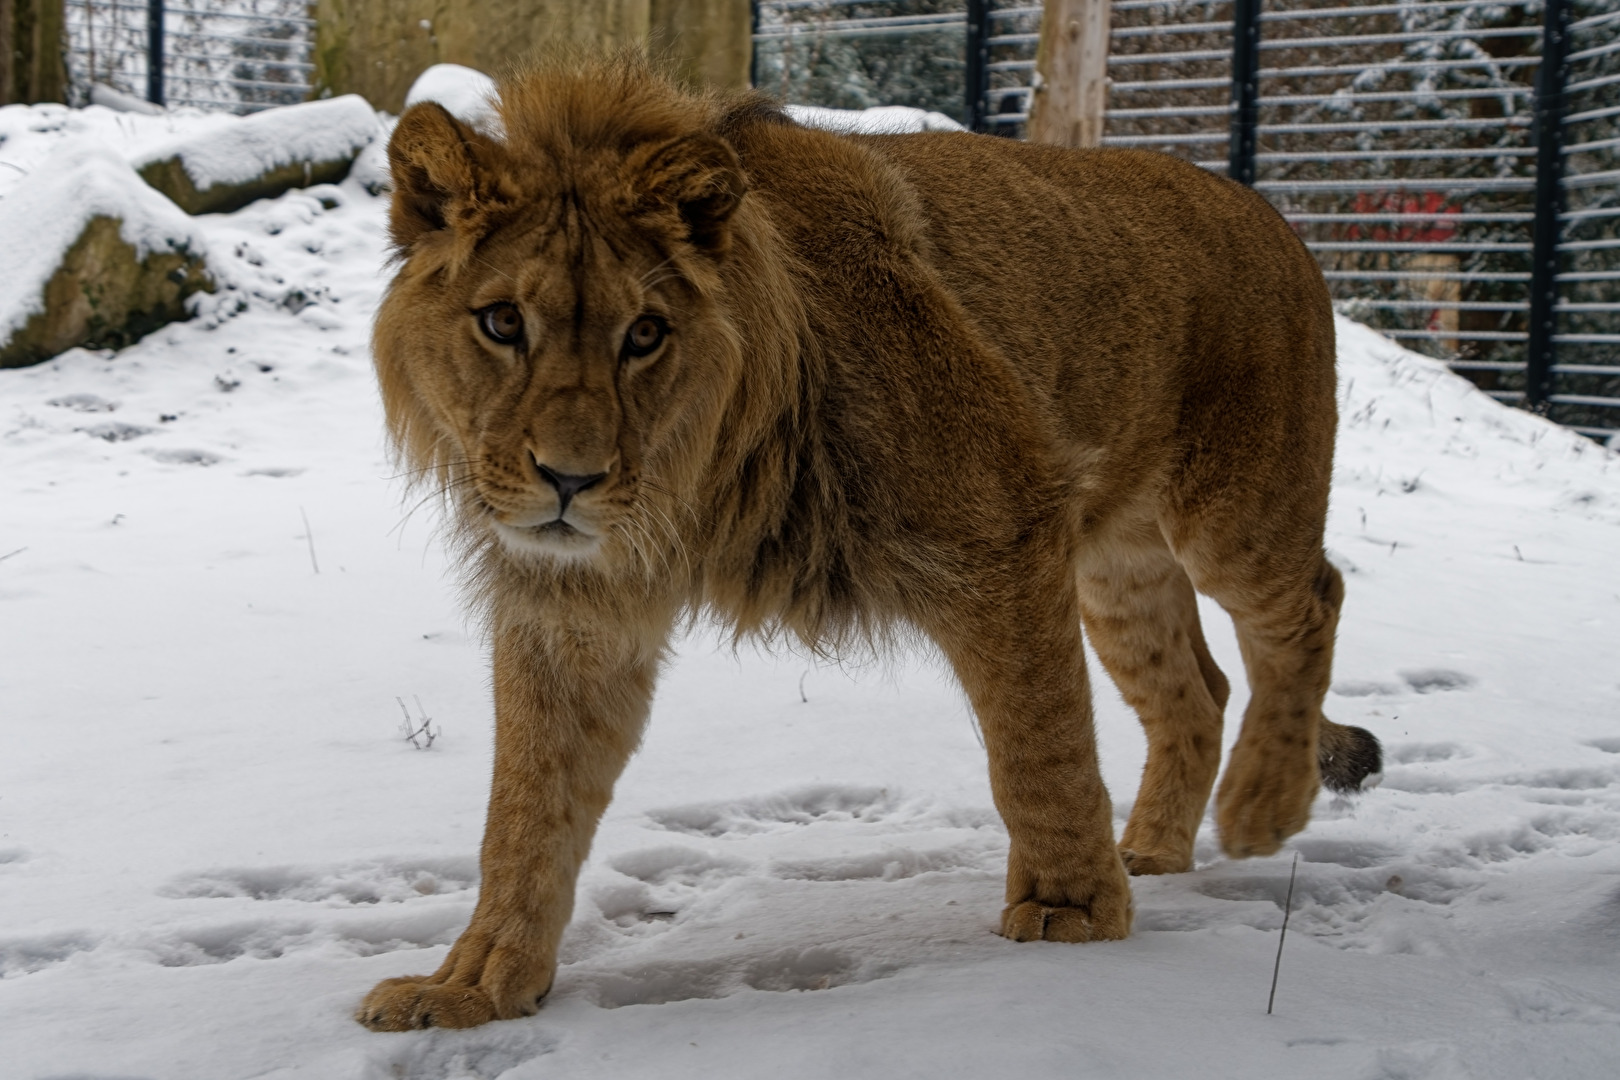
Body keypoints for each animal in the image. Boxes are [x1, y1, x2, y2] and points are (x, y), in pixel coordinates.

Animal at [358, 55, 1381, 1031]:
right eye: (502, 322)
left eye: (644, 334)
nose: (570, 480)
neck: (690, 489)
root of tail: (1271, 212)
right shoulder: (570, 610)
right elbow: (527, 809)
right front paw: (475, 984)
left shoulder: (1004, 520)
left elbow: (1038, 749)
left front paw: (1074, 915)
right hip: (1117, 569)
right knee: (1196, 689)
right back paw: (1156, 849)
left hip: (1236, 513)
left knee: (1312, 607)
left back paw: (1264, 803)